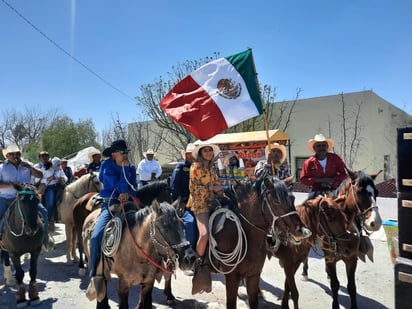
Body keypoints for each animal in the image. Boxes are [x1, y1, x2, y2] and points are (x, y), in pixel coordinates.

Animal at [164, 174, 312, 306]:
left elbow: (253, 302)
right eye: (276, 201)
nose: (303, 231)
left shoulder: (254, 275)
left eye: (292, 198)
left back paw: (169, 295)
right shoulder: (232, 277)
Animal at [302, 168, 384, 308]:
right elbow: (335, 285)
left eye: (376, 192)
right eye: (359, 191)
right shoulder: (331, 259)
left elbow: (351, 286)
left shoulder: (351, 258)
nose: (375, 222)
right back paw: (304, 273)